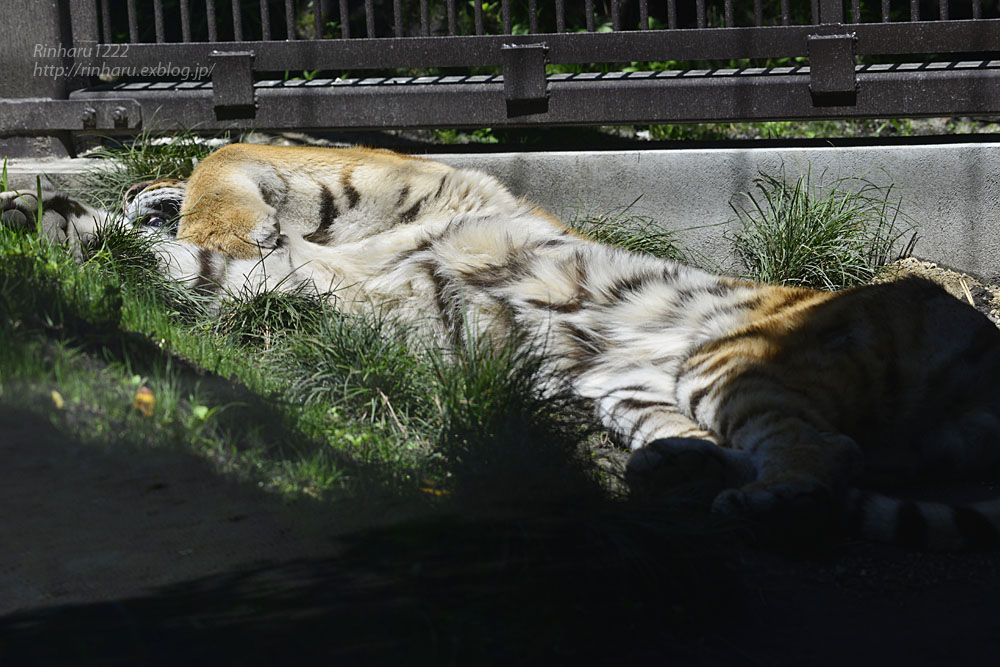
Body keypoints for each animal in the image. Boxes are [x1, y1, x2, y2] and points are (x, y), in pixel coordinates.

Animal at [1, 144, 1000, 552]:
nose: (144, 190)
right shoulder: (296, 278)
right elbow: (174, 260)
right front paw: (36, 215)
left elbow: (217, 180)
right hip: (631, 381)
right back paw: (673, 472)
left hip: (734, 361)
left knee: (825, 449)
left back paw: (771, 504)